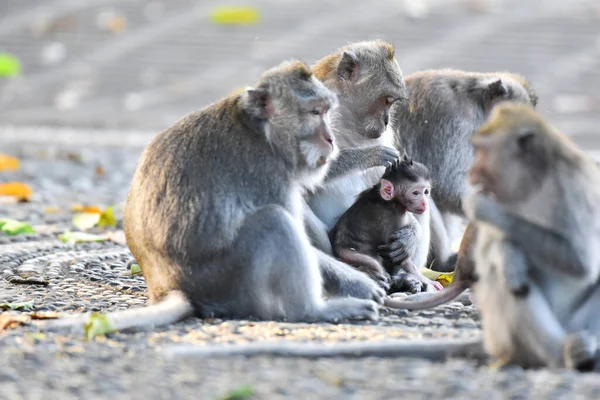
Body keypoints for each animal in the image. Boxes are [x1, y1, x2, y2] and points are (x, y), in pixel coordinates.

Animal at [34, 59, 380, 336]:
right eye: (314, 112)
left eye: (327, 112)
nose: (330, 139)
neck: (261, 131)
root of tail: (172, 287)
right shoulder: (267, 174)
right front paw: (360, 283)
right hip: (230, 282)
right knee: (274, 222)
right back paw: (312, 311)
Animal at [330, 156, 442, 294]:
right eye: (416, 193)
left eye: (426, 192)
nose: (425, 203)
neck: (389, 201)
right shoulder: (394, 217)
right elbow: (398, 259)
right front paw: (426, 279)